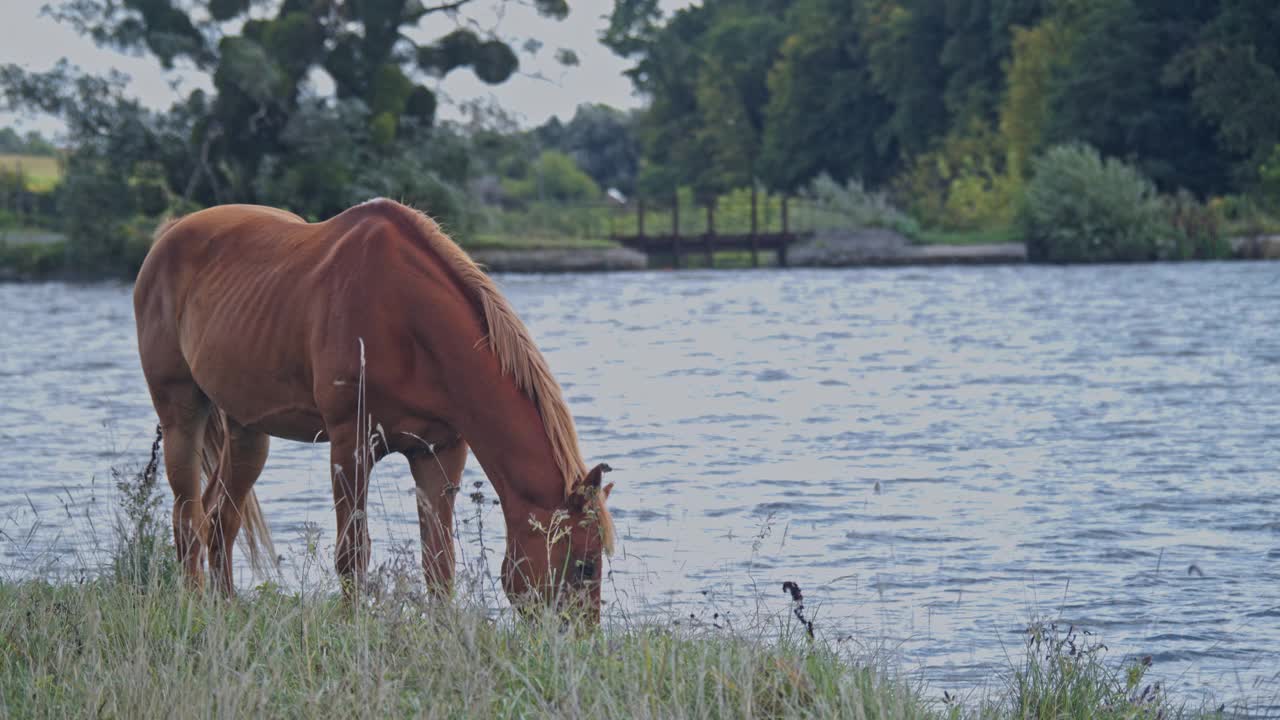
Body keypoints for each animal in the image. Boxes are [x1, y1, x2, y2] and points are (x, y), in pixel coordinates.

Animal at [135, 196, 614, 617]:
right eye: (584, 564)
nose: (581, 639)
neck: (406, 317)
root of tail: (169, 235)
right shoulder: (350, 446)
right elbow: (352, 554)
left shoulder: (439, 452)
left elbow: (439, 561)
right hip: (181, 415)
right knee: (188, 520)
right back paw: (196, 609)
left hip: (247, 431)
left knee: (220, 521)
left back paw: (226, 608)